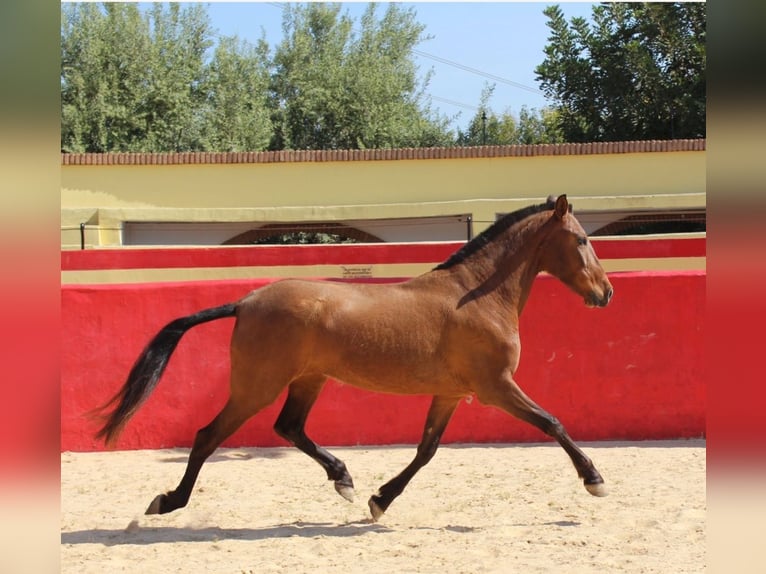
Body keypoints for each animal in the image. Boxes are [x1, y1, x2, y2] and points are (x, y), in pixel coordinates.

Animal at [93, 194, 616, 520]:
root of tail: (247, 300)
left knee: (289, 427)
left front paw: (380, 499)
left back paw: (343, 478)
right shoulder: (496, 387)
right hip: (256, 387)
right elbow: (552, 423)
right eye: (583, 240)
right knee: (208, 436)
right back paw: (169, 501)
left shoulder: (450, 393)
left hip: (308, 380)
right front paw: (594, 479)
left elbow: (426, 450)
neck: (476, 295)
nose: (606, 293)